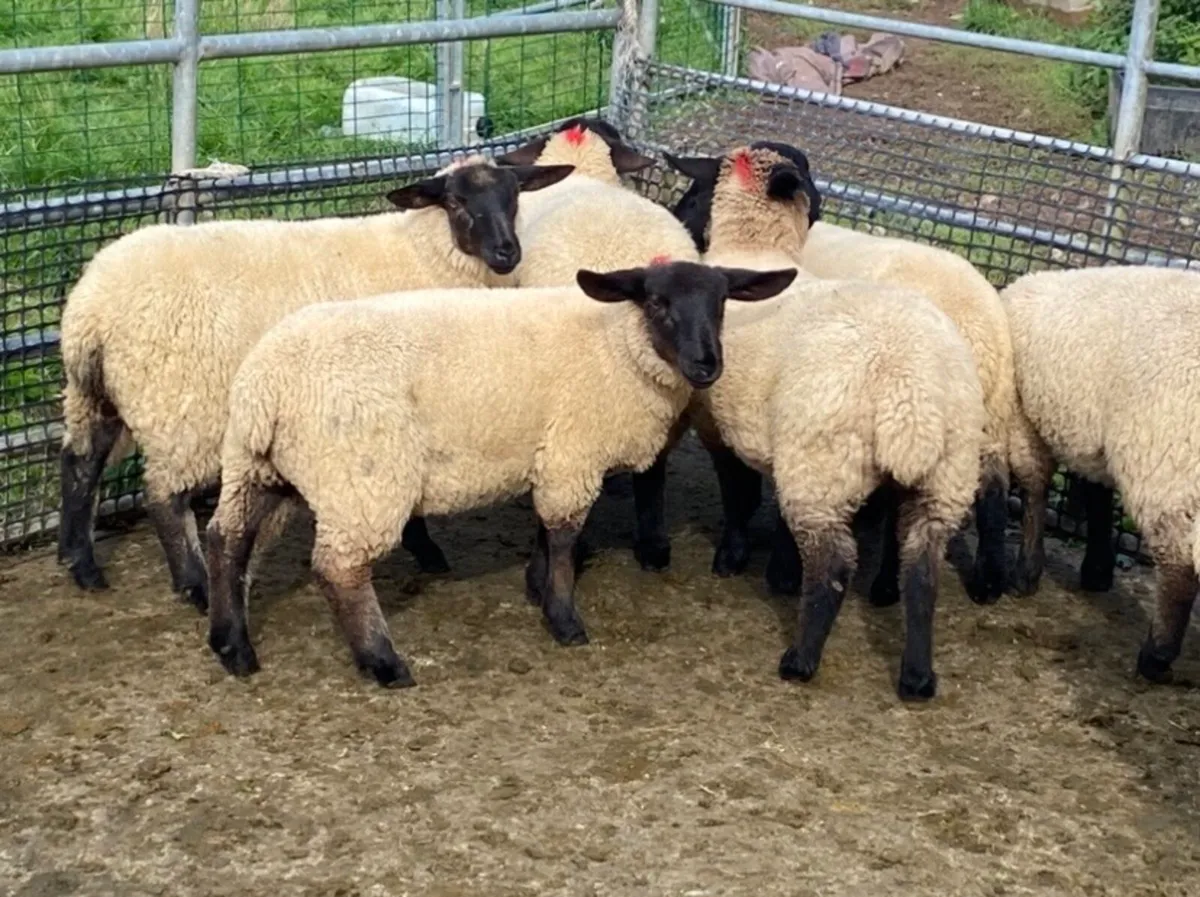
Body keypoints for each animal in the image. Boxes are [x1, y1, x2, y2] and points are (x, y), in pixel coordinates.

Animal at [57, 156, 574, 612]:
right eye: (454, 202)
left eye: (514, 196)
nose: (507, 252)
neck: (421, 252)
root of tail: (90, 307)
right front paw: (425, 548)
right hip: (179, 407)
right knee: (163, 497)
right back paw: (195, 585)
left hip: (95, 394)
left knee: (80, 462)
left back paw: (80, 565)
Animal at [204, 261, 798, 687]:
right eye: (656, 302)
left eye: (721, 303)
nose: (707, 365)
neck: (618, 346)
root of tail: (264, 383)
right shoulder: (573, 450)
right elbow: (564, 535)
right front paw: (564, 619)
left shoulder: (548, 452)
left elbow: (546, 530)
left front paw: (537, 587)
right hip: (362, 476)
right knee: (338, 569)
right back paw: (384, 662)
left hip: (259, 469)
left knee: (226, 540)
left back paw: (232, 647)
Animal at [664, 142, 1022, 606]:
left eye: (696, 194)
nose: (679, 222)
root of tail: (975, 323)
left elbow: (739, 485)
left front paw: (742, 554)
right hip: (985, 417)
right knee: (992, 495)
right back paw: (987, 583)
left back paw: (884, 586)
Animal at [1003, 264, 1200, 682]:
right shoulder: (1089, 432)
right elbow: (1095, 494)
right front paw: (1097, 570)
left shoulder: (1021, 415)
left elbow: (1035, 488)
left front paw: (1026, 574)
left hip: (1164, 455)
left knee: (1179, 565)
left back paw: (1156, 656)